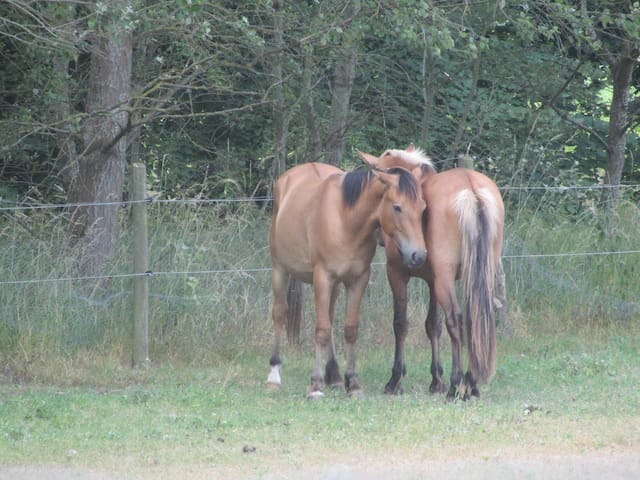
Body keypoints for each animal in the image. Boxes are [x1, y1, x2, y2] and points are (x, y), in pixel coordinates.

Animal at [268, 160, 428, 398]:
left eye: (423, 207)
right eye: (397, 207)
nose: (419, 256)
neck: (346, 221)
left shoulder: (358, 279)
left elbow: (350, 329)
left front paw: (352, 383)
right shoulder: (323, 277)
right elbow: (322, 330)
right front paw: (315, 386)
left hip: (333, 286)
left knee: (331, 317)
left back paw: (334, 375)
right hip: (280, 270)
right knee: (280, 314)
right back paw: (274, 375)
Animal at [360, 144, 504, 400]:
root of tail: (472, 190)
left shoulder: (397, 275)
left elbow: (401, 324)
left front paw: (396, 380)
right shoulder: (433, 281)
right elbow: (433, 326)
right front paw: (437, 379)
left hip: (446, 280)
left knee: (456, 320)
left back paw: (457, 384)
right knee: (474, 319)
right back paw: (471, 383)